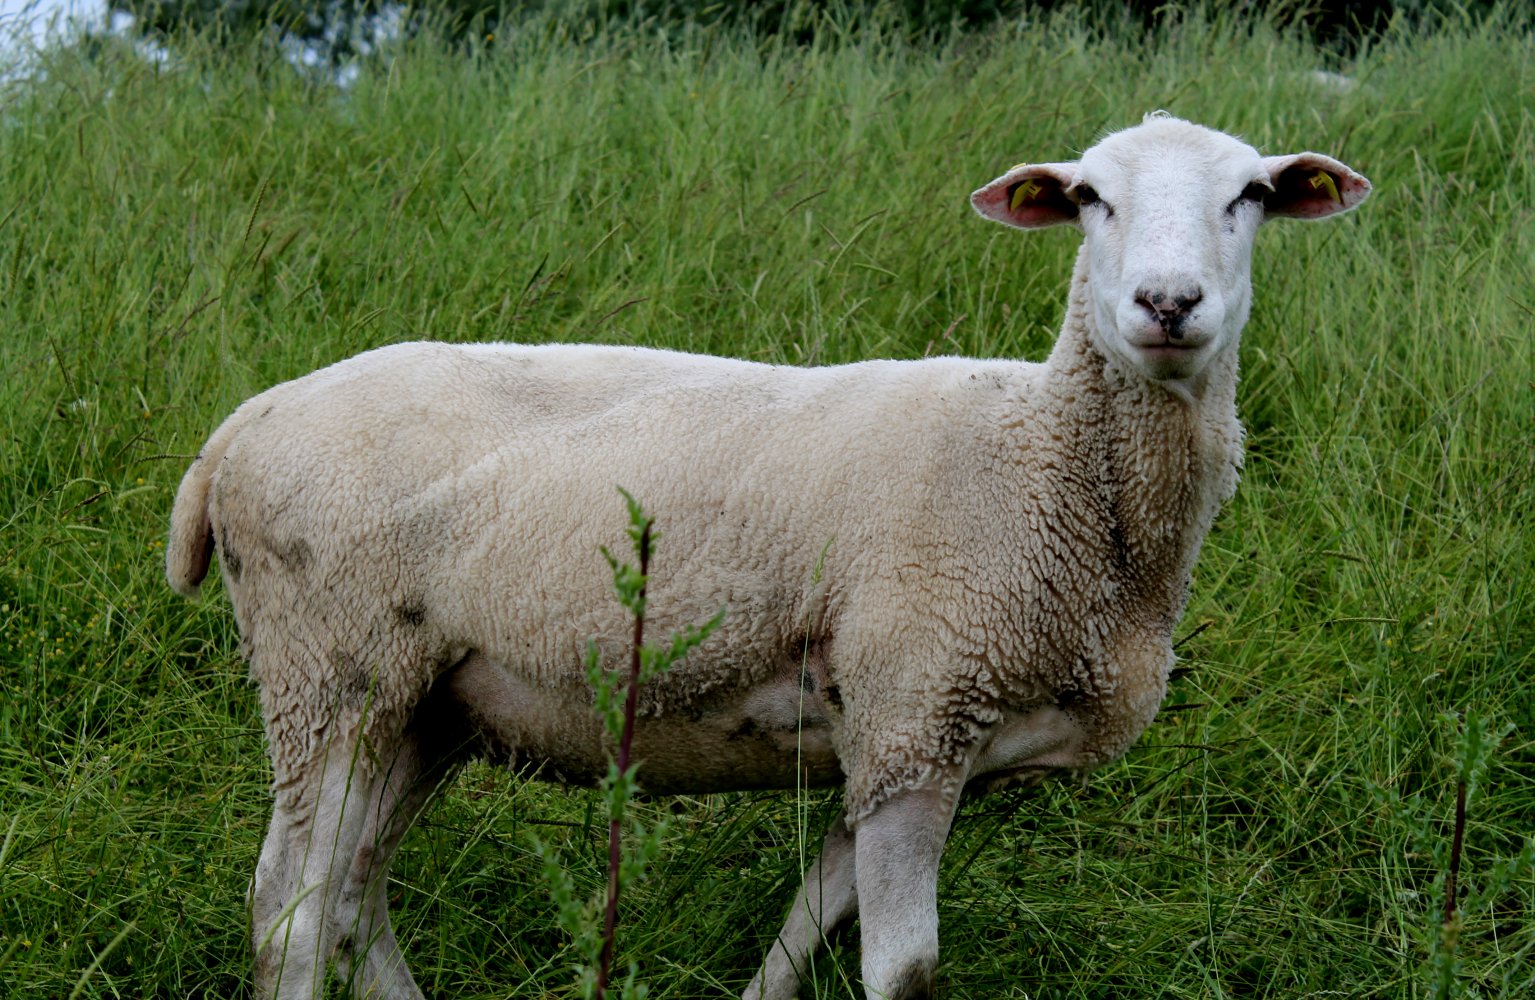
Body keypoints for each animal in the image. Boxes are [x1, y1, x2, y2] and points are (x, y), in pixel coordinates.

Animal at [165, 113, 1369, 995]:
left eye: (1250, 195)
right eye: (1086, 198)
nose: (1166, 304)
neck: (1044, 461)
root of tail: (242, 425)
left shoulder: (898, 740)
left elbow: (802, 930)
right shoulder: (915, 713)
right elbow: (901, 971)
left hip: (427, 703)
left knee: (353, 895)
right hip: (332, 670)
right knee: (290, 910)